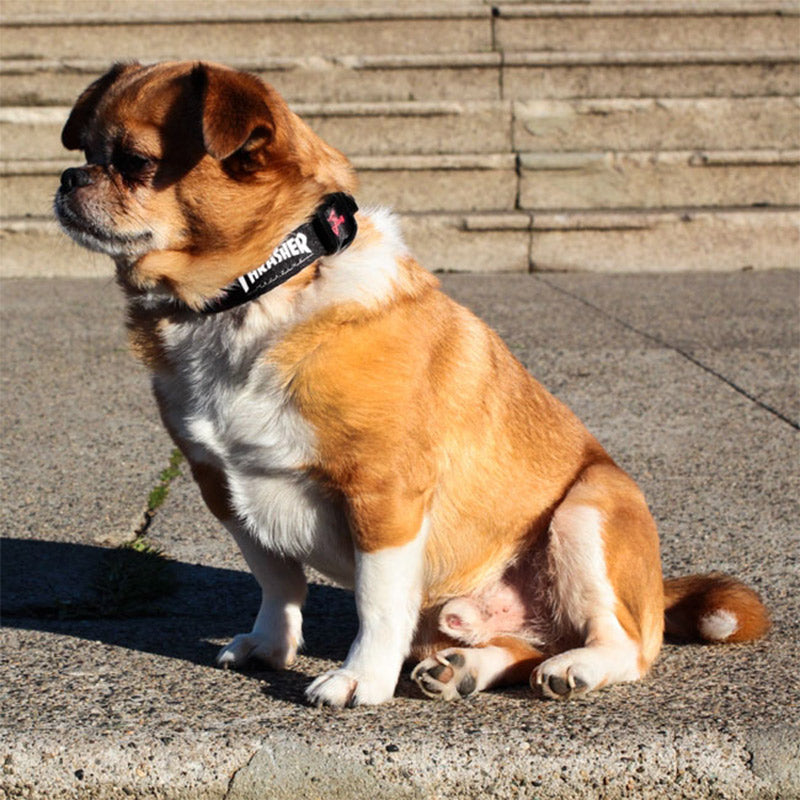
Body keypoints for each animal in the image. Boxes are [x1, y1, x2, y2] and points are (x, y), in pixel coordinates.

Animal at [54, 61, 768, 708]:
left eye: (135, 163)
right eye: (86, 151)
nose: (66, 177)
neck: (257, 295)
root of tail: (658, 589)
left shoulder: (384, 498)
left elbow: (376, 603)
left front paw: (359, 681)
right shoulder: (223, 487)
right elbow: (277, 581)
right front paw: (272, 645)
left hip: (586, 511)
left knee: (624, 645)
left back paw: (577, 668)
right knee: (513, 647)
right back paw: (464, 669)